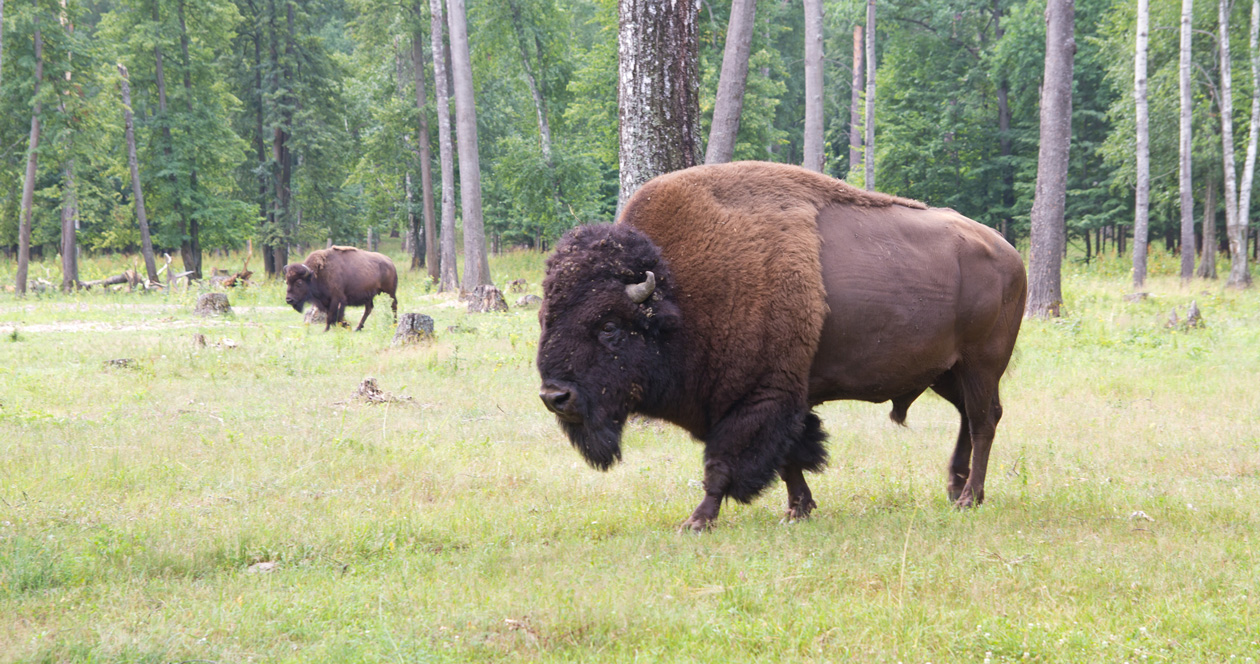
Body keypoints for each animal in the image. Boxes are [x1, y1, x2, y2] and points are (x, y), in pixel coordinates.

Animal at [537, 162, 1026, 531]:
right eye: (546, 318)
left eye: (609, 326)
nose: (554, 396)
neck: (679, 291)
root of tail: (1010, 253)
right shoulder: (778, 398)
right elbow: (789, 456)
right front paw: (798, 510)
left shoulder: (757, 399)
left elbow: (725, 463)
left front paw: (697, 521)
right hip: (946, 371)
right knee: (968, 418)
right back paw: (954, 486)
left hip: (981, 366)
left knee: (984, 421)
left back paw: (968, 497)